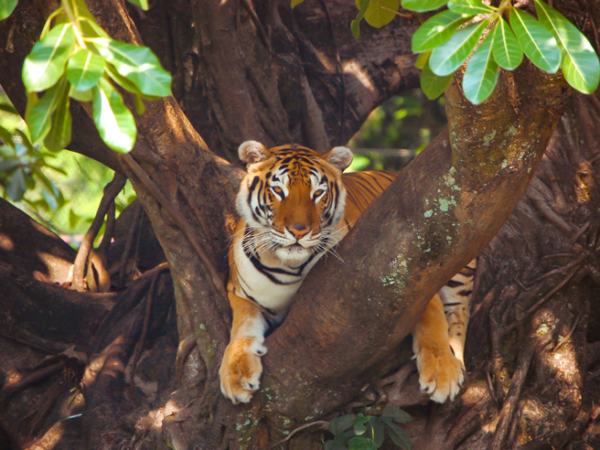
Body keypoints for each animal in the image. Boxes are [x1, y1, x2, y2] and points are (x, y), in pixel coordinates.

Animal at [218, 142, 476, 406]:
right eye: (278, 190)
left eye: (317, 193)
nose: (299, 231)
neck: (289, 266)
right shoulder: (239, 293)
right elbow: (243, 326)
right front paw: (236, 375)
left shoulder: (408, 272)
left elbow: (432, 316)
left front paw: (442, 371)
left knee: (458, 317)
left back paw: (455, 360)